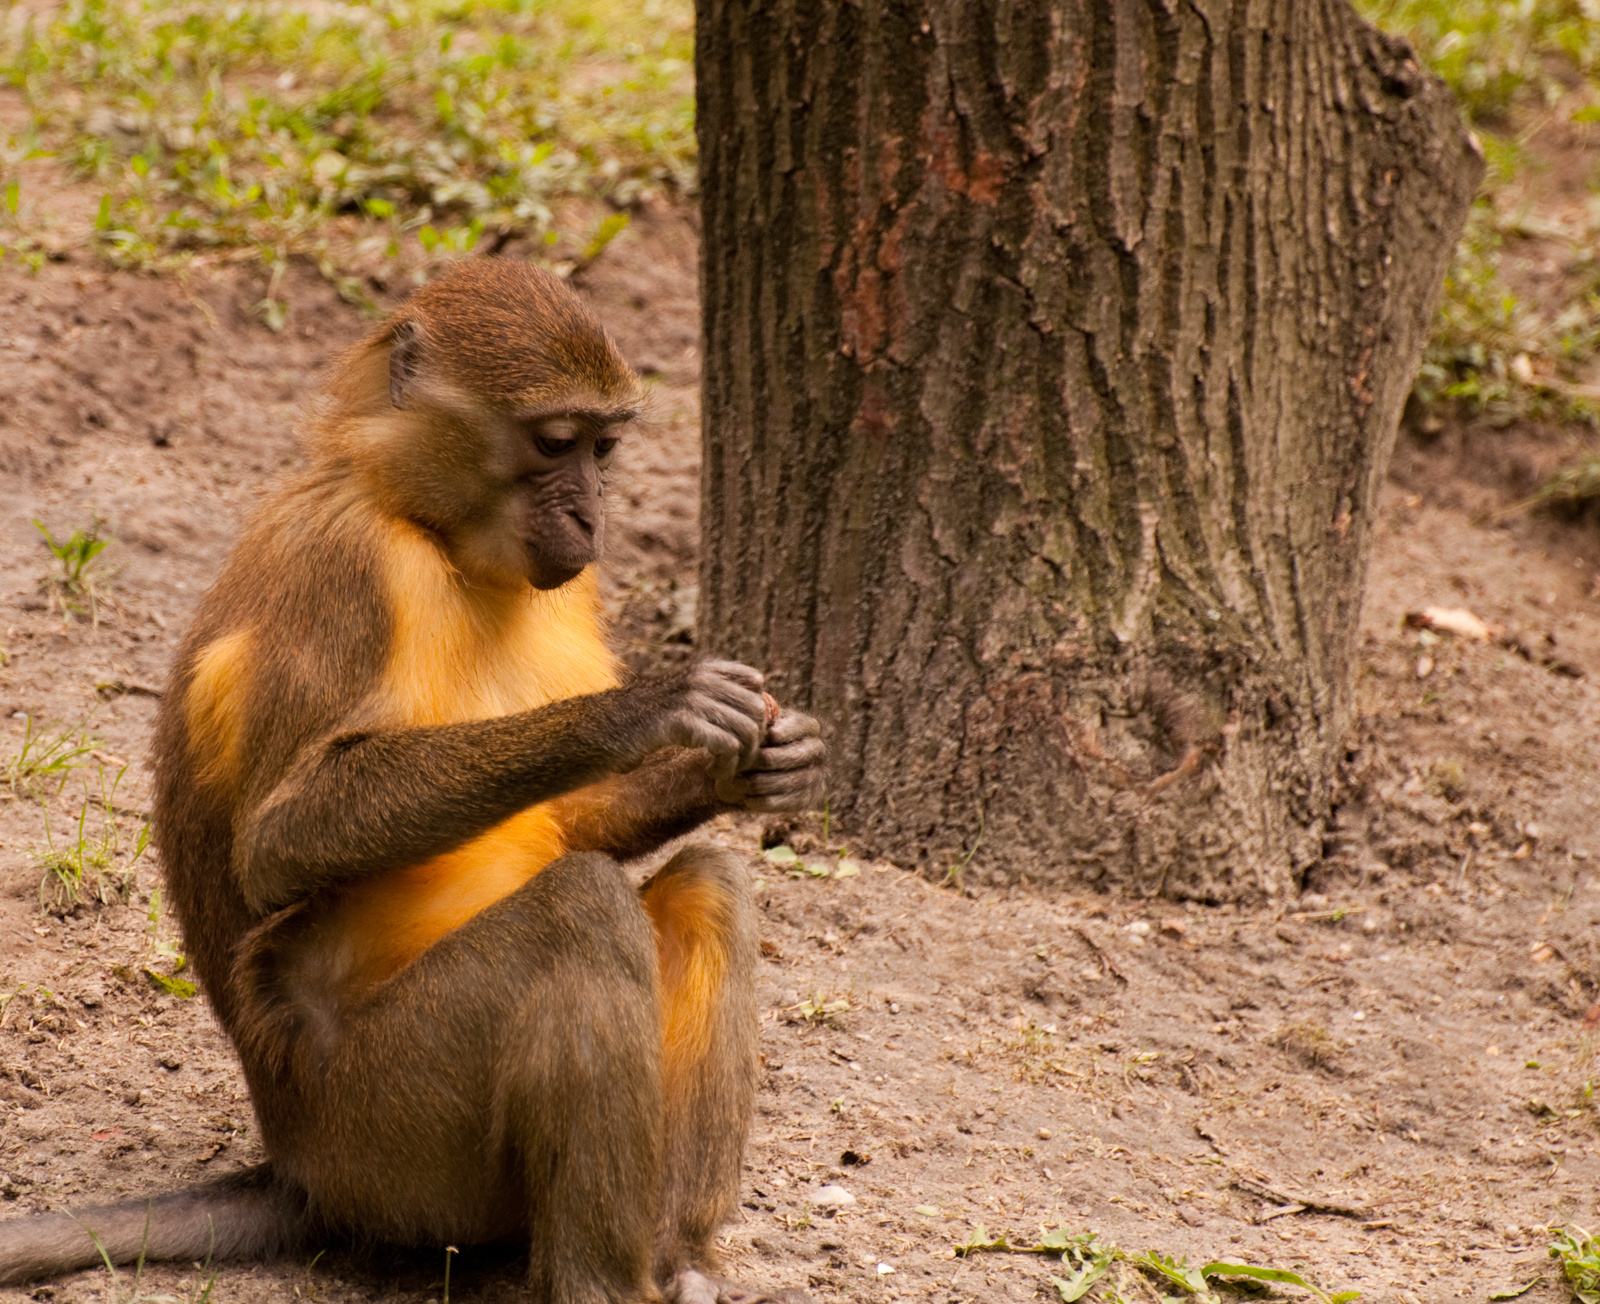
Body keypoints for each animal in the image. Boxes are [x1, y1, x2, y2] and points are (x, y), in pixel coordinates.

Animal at [0, 260, 825, 1299]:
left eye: (604, 447)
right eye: (555, 443)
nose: (592, 518)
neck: (428, 529)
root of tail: (299, 1166)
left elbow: (579, 822)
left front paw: (758, 765)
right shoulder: (350, 566)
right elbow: (279, 843)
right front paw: (640, 712)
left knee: (709, 883)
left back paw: (677, 1254)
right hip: (389, 1138)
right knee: (581, 913)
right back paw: (599, 1278)